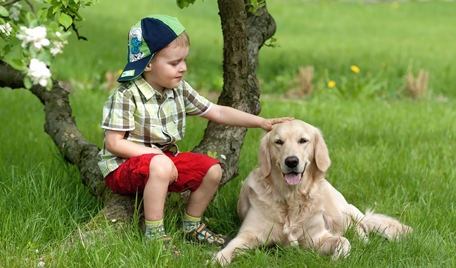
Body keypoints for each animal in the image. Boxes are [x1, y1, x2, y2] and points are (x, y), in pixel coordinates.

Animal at [215, 120, 414, 264]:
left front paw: (339, 257)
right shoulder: (249, 235)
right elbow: (228, 250)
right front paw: (216, 260)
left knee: (358, 227)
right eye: (278, 142)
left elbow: (343, 241)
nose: (291, 161)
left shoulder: (316, 238)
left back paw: (362, 240)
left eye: (303, 140)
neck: (290, 198)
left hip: (338, 213)